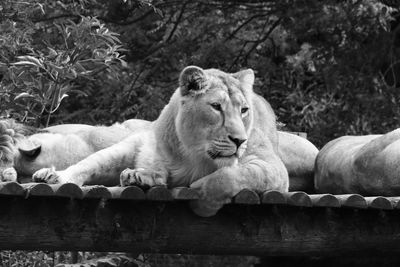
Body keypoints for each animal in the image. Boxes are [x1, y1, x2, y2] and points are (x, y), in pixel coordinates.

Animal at [32, 66, 290, 217]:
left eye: (244, 110)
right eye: (216, 107)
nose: (239, 140)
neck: (198, 154)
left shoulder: (273, 168)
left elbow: (229, 175)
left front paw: (202, 201)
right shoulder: (155, 150)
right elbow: (157, 167)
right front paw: (141, 176)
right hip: (123, 147)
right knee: (87, 164)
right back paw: (53, 176)